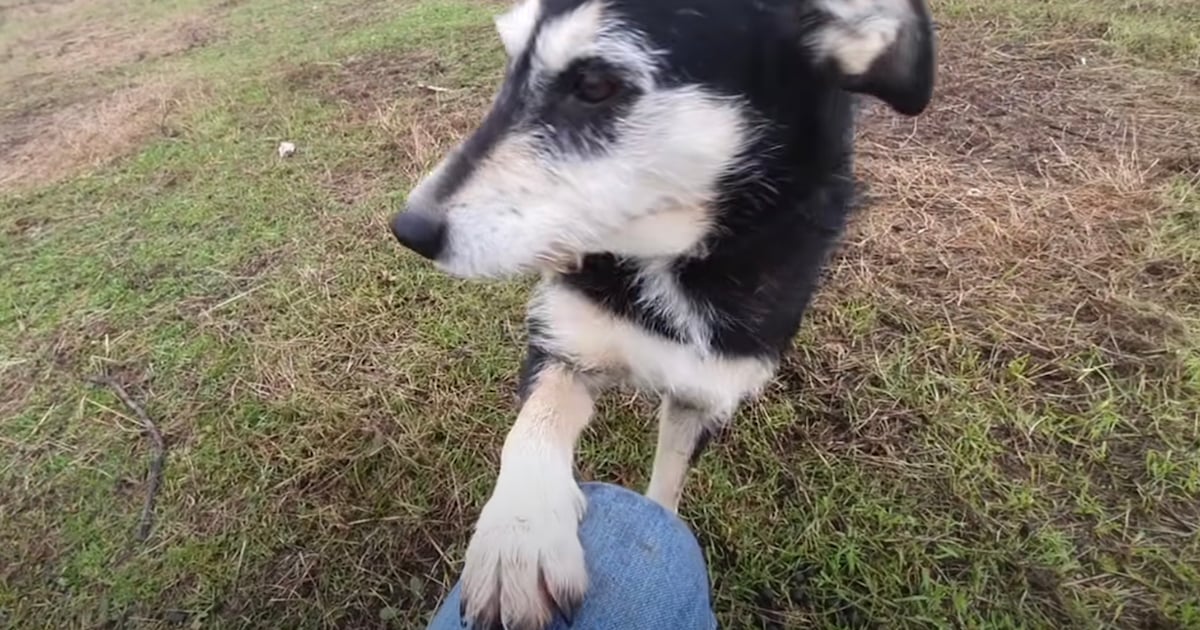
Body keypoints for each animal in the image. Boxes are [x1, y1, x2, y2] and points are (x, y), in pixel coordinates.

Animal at [388, 1, 931, 624]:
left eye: (595, 84)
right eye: (510, 60)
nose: (409, 229)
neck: (670, 261)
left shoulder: (705, 393)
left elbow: (667, 487)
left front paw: (655, 529)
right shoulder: (566, 343)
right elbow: (532, 428)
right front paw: (521, 536)